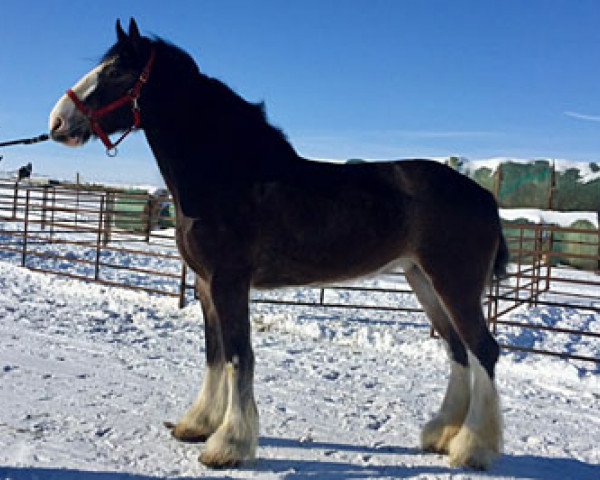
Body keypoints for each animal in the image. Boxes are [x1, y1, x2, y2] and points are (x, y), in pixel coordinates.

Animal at [49, 19, 506, 472]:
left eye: (115, 72)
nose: (57, 123)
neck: (227, 176)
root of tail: (484, 197)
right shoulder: (205, 286)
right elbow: (214, 354)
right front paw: (198, 425)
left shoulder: (229, 282)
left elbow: (238, 356)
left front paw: (228, 445)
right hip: (423, 282)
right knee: (458, 350)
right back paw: (441, 436)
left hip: (453, 285)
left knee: (483, 350)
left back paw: (472, 449)